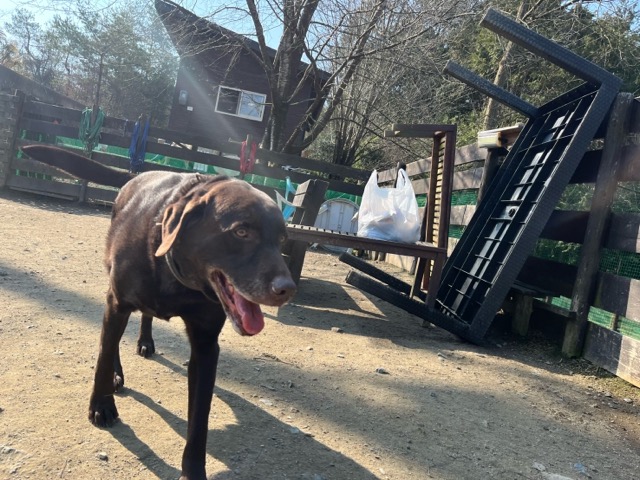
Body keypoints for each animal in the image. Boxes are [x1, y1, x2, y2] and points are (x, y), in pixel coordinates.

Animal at [21, 145, 297, 480]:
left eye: (281, 239)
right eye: (242, 231)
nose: (287, 289)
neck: (174, 271)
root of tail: (136, 176)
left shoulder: (206, 344)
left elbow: (199, 420)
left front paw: (193, 471)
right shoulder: (117, 302)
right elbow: (103, 355)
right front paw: (101, 405)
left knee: (145, 316)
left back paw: (146, 341)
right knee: (112, 341)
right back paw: (116, 375)